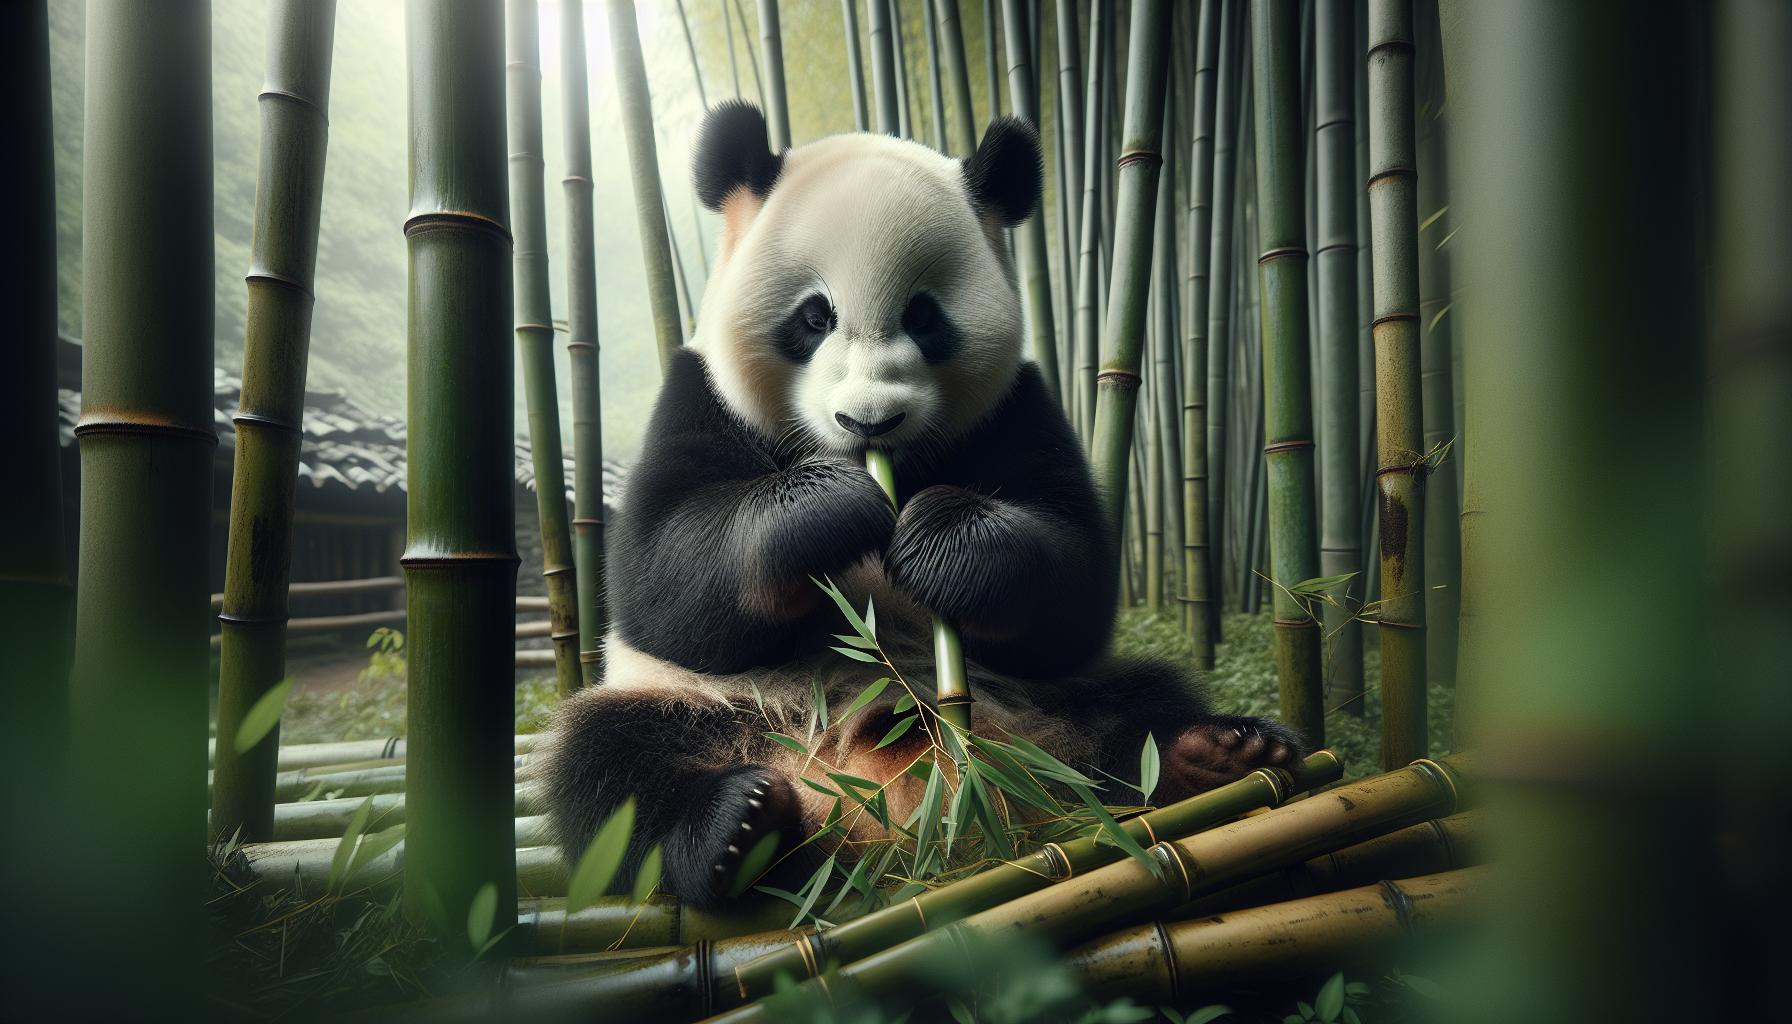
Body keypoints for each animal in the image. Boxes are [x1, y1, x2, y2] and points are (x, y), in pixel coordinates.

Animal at [541, 101, 1306, 909]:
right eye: (814, 316)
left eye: (925, 316)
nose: (869, 420)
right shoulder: (700, 393)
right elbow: (661, 576)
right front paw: (830, 508)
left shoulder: (1015, 407)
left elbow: (1074, 583)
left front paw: (940, 540)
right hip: (707, 707)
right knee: (608, 772)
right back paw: (738, 828)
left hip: (1051, 700)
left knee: (1135, 704)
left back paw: (1216, 751)